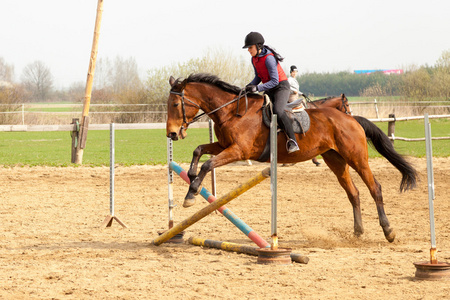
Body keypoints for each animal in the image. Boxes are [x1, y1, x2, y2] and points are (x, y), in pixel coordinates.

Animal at [166, 73, 418, 244]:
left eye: (176, 104)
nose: (172, 134)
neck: (232, 111)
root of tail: (351, 119)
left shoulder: (239, 151)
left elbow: (208, 163)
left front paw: (192, 193)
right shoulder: (224, 146)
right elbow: (199, 150)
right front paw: (190, 178)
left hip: (357, 158)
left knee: (375, 188)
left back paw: (388, 231)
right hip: (335, 160)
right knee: (353, 193)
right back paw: (357, 232)